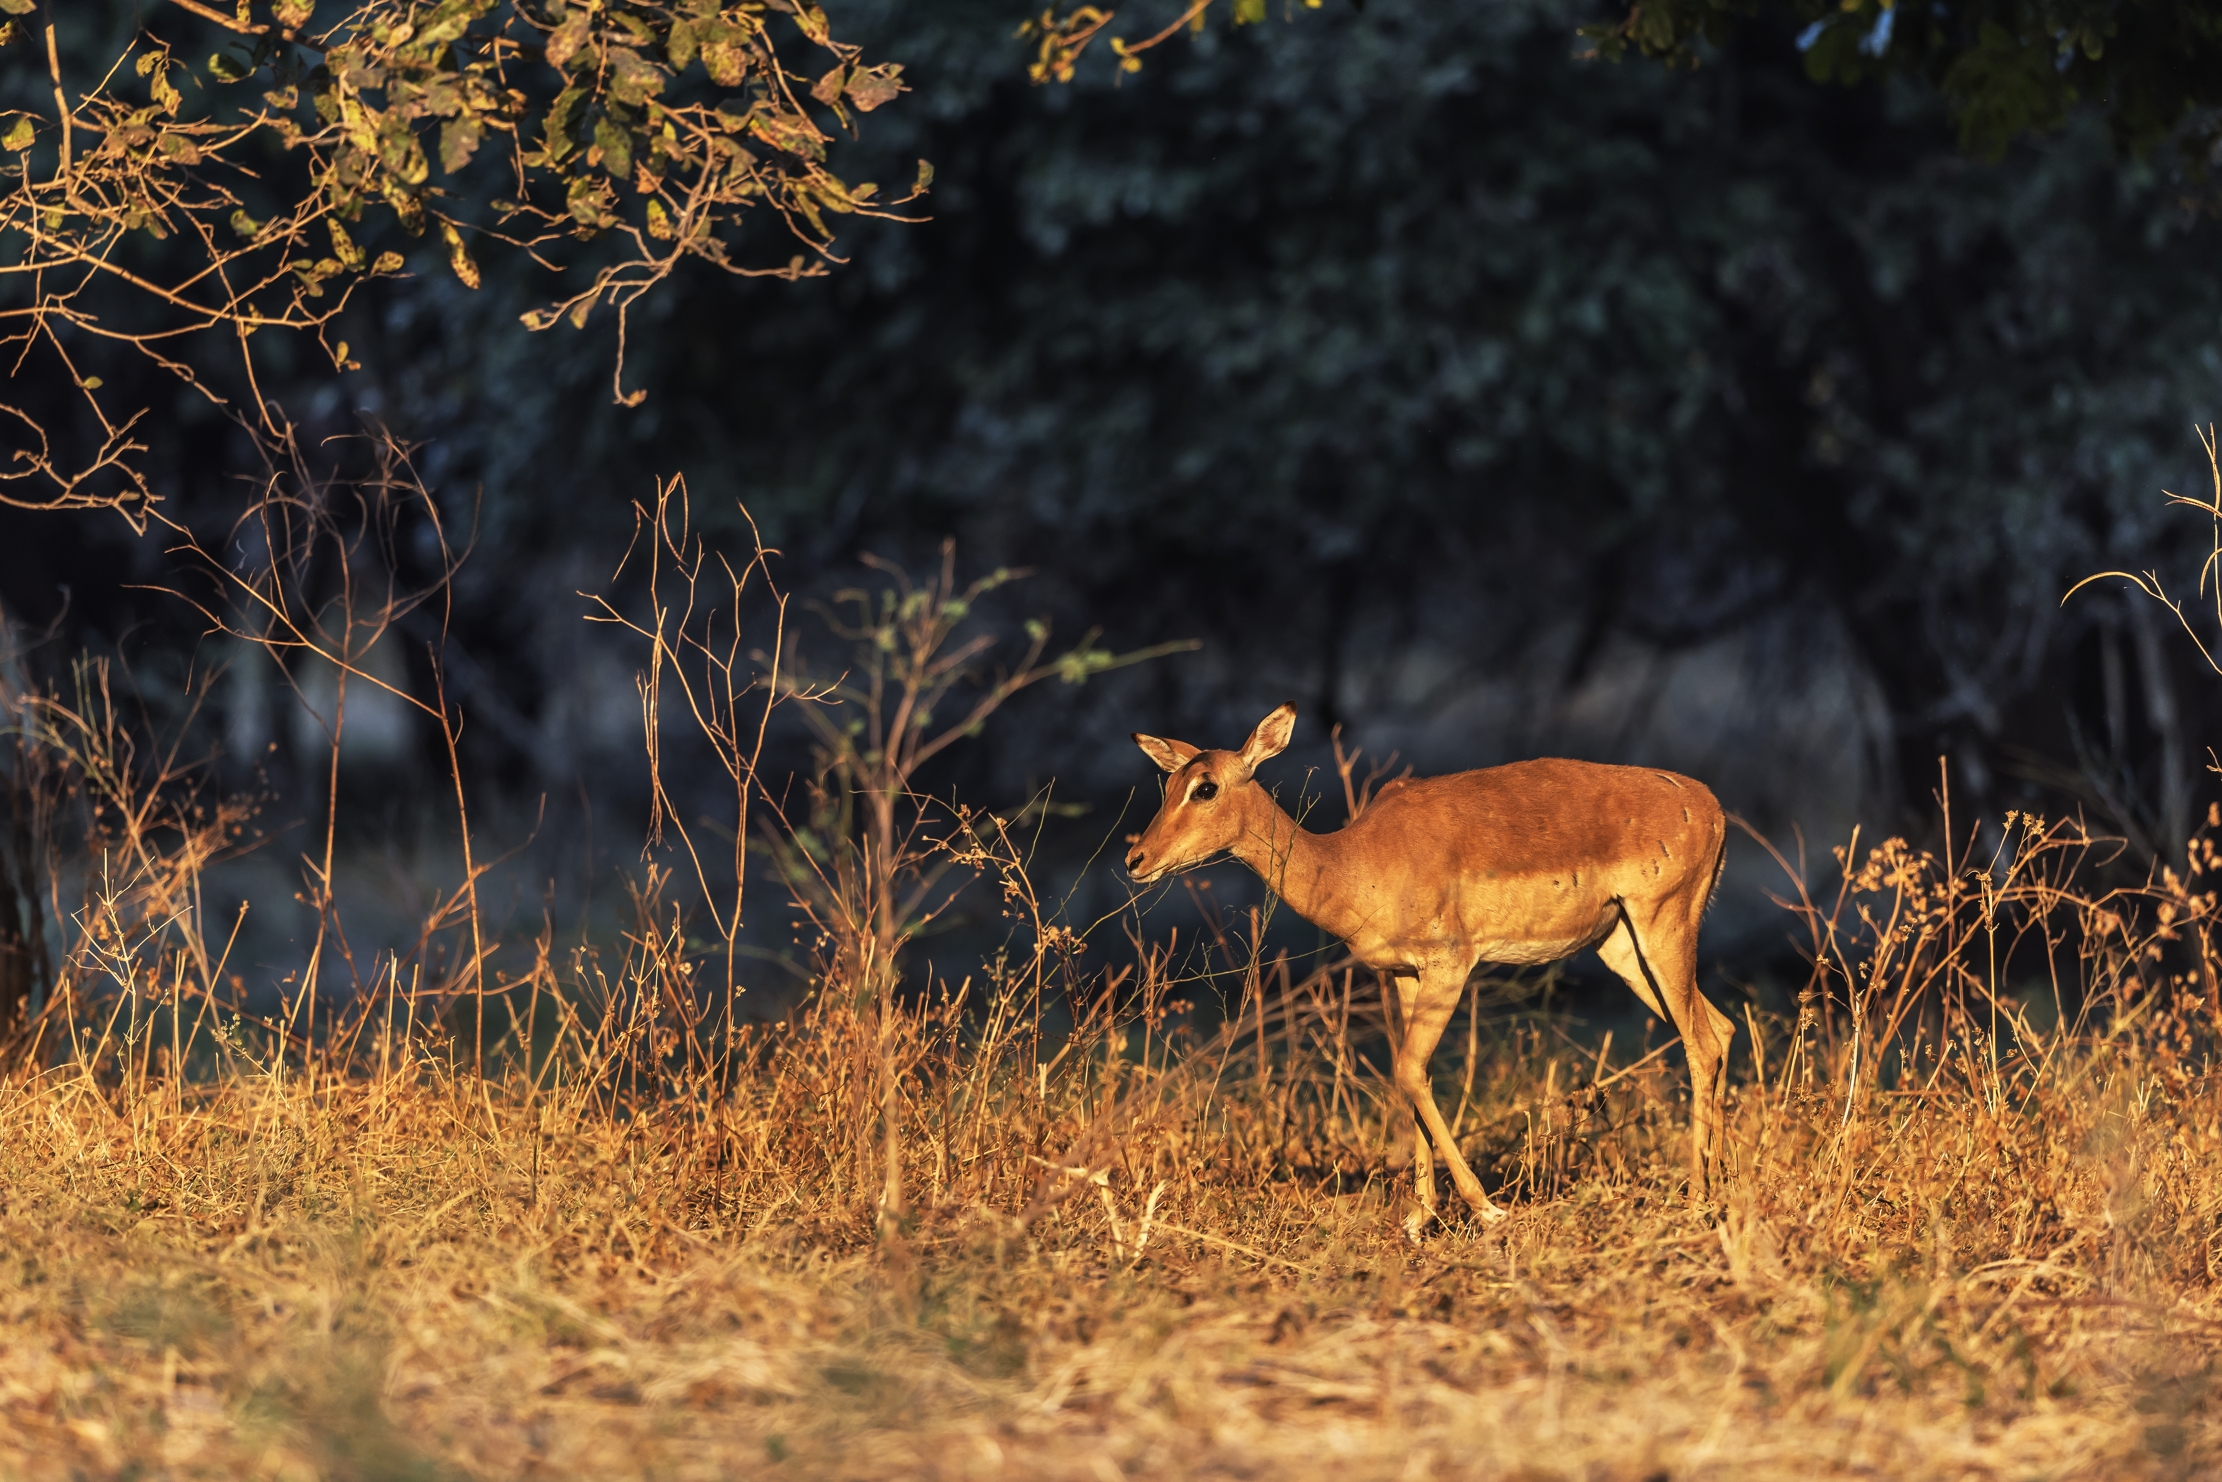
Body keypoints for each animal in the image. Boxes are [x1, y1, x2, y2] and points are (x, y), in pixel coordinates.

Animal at [1125, 703, 1733, 1234]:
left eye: (1206, 787)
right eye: (1168, 785)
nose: (1136, 859)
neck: (1353, 862)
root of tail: (1709, 803)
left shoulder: (1450, 966)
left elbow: (1409, 1070)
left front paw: (1486, 1210)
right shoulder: (1406, 976)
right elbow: (1417, 1074)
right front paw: (1420, 1219)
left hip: (1662, 929)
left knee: (1701, 1042)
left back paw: (1697, 1201)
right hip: (1623, 949)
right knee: (1722, 1029)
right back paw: (1723, 1184)